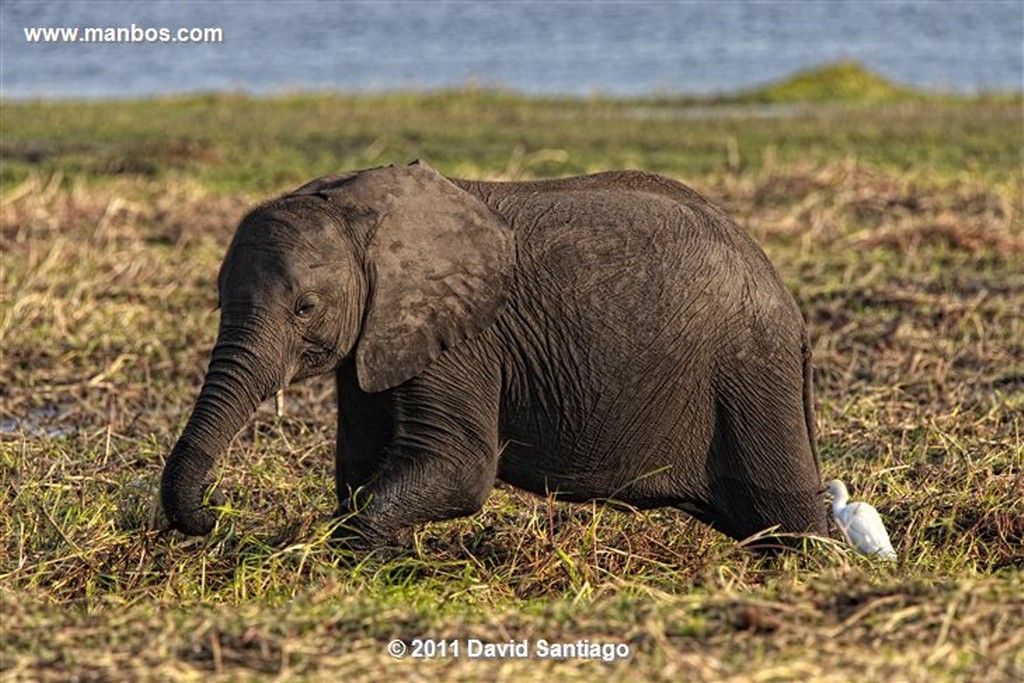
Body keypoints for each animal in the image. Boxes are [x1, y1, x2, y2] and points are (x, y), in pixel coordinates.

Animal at [161, 161, 831, 548]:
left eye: (304, 308)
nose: (215, 517)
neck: (355, 209)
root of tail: (786, 299)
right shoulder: (383, 333)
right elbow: (360, 460)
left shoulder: (464, 338)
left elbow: (458, 468)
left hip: (750, 373)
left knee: (788, 516)